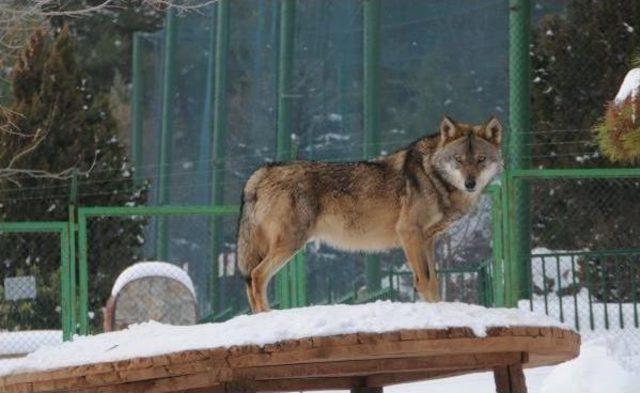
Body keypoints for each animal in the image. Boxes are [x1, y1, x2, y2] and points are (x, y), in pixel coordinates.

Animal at [238, 115, 502, 310]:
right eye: (458, 159)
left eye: (481, 159)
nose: (470, 183)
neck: (433, 176)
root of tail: (260, 173)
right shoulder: (409, 233)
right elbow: (425, 280)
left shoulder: (428, 239)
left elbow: (434, 281)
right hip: (291, 244)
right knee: (256, 276)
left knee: (250, 281)